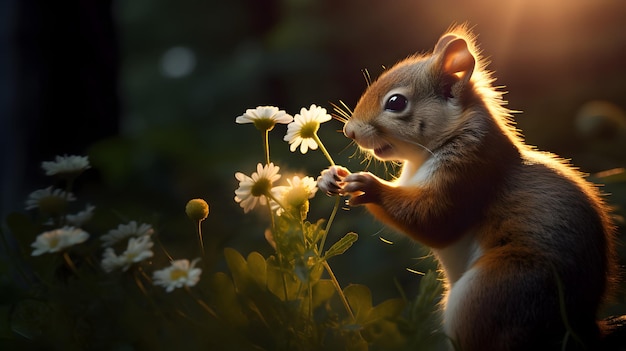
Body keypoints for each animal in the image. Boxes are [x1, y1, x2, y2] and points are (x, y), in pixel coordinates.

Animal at [320, 26, 620, 350]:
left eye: (396, 102)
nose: (349, 131)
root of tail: (579, 328)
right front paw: (329, 177)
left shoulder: (469, 172)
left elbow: (435, 221)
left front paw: (367, 185)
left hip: (492, 293)